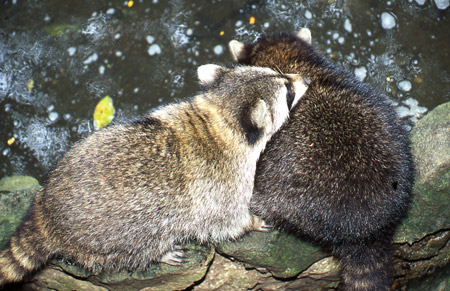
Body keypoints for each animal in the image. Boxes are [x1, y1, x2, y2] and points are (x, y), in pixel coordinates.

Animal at [0, 64, 310, 288]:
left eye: (281, 74)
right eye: (287, 92)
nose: (305, 77)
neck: (219, 120)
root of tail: (47, 211)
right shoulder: (223, 182)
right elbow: (225, 222)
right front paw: (252, 221)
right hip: (117, 239)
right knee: (140, 247)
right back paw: (160, 252)